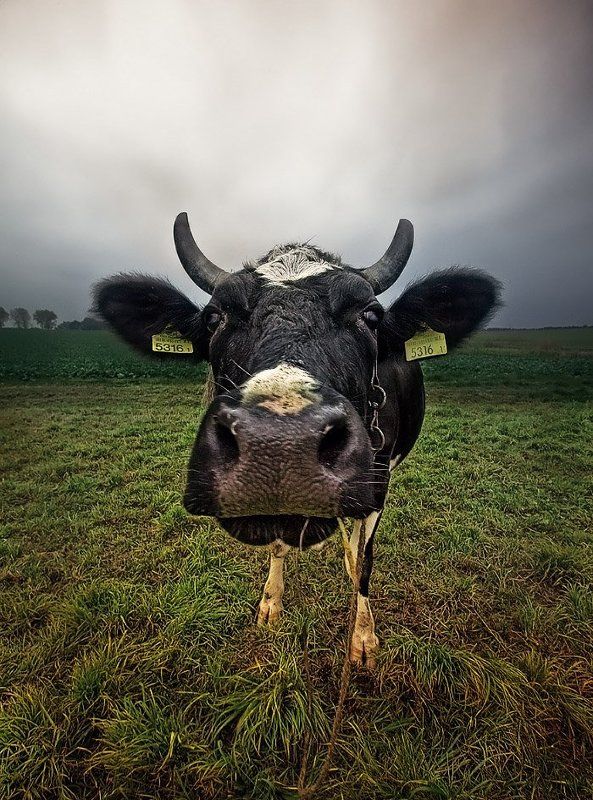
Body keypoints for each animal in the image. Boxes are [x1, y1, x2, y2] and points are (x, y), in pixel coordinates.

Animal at [94, 213, 500, 667]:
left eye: (370, 316)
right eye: (216, 318)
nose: (280, 445)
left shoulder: (379, 481)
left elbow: (365, 562)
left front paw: (363, 636)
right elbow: (277, 546)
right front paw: (271, 603)